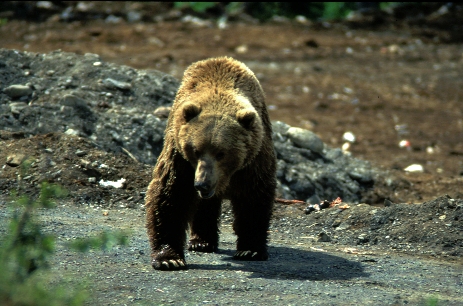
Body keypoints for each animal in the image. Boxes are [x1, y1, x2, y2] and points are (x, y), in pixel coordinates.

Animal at [145, 56, 276, 270]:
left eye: (221, 153)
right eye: (196, 150)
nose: (202, 183)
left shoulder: (254, 158)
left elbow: (254, 196)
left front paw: (251, 250)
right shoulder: (180, 155)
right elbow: (171, 193)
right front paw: (169, 258)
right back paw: (201, 241)